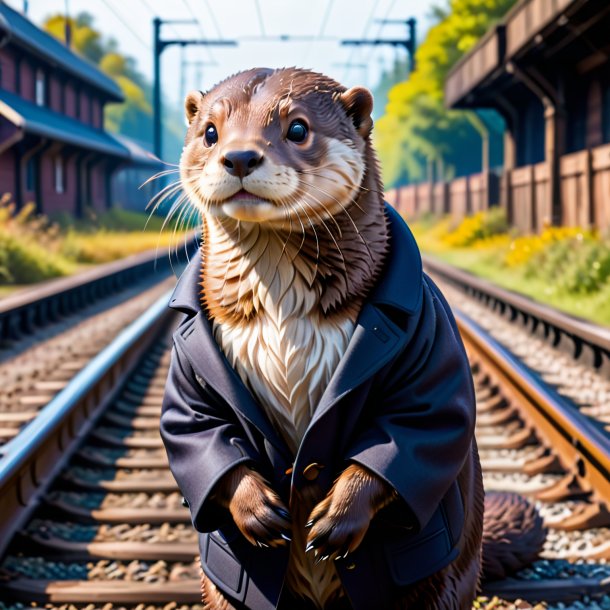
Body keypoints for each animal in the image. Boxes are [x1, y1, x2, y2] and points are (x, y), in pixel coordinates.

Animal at [160, 67, 540, 608]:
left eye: (297, 128)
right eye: (210, 132)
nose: (239, 156)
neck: (283, 319)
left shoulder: (430, 343)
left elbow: (417, 424)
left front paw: (336, 521)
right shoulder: (189, 372)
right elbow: (196, 429)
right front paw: (259, 511)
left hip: (442, 580)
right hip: (219, 588)